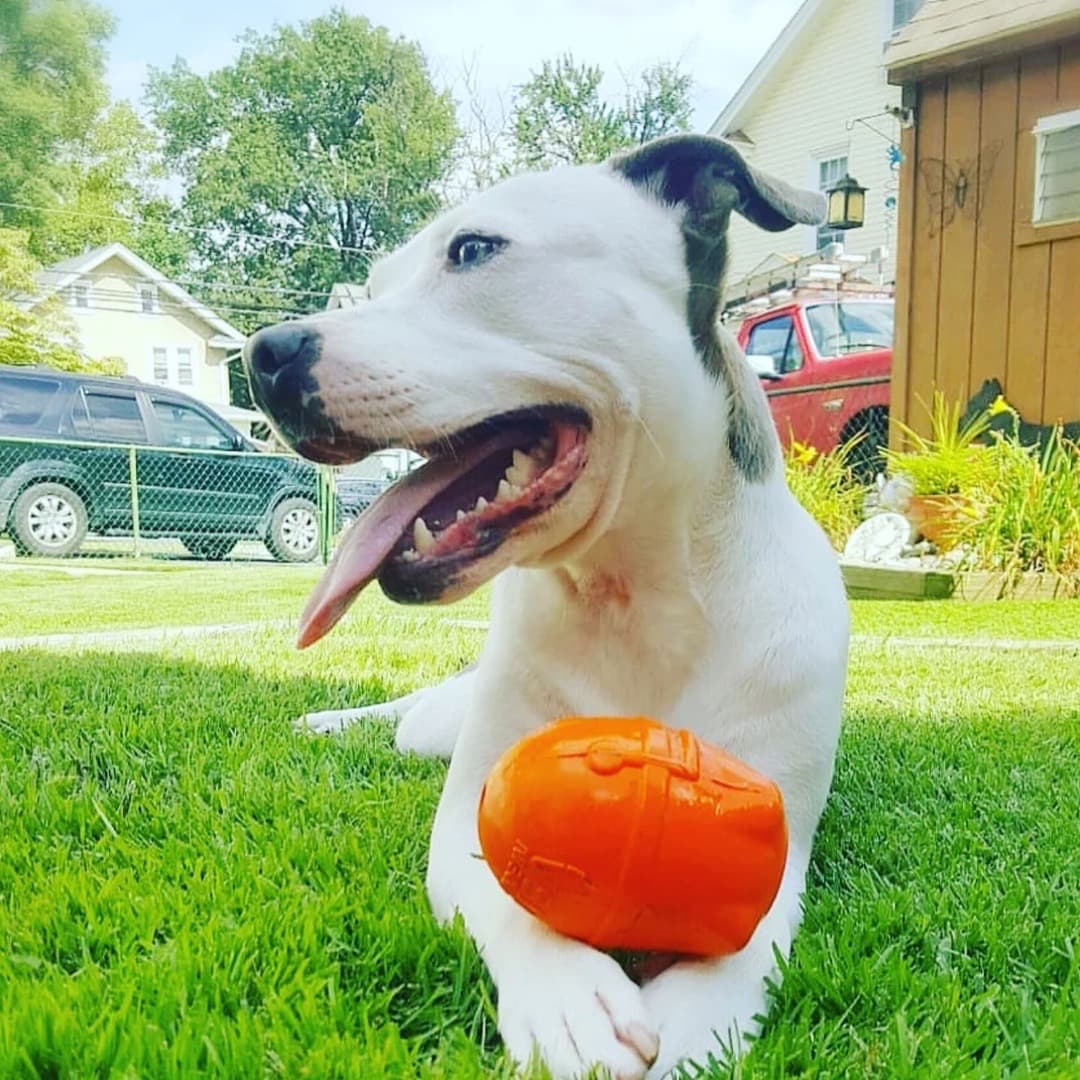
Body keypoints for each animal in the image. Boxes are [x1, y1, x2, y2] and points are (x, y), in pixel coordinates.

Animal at [245, 135, 851, 1080]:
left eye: (473, 250)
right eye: (375, 284)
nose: (263, 354)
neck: (638, 593)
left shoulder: (777, 840)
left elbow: (744, 940)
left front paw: (693, 1018)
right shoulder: (472, 809)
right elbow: (506, 891)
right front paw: (571, 999)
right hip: (435, 727)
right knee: (402, 715)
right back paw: (330, 721)